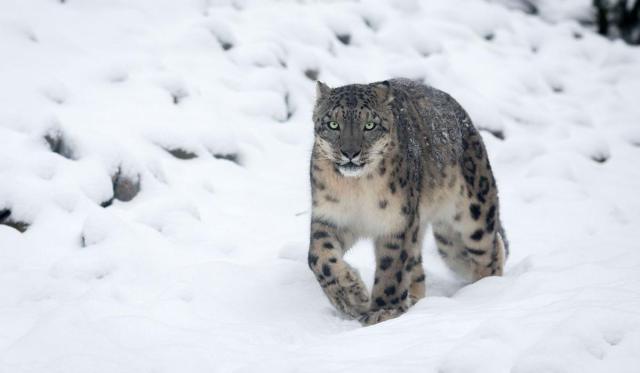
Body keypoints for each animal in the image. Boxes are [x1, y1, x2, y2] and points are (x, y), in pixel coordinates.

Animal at [308, 77, 508, 322]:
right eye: (333, 124)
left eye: (370, 125)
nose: (350, 153)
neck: (356, 188)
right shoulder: (330, 217)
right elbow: (318, 257)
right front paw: (351, 297)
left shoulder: (397, 223)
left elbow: (391, 269)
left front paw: (383, 311)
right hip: (449, 242)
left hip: (474, 215)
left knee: (489, 252)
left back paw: (487, 292)